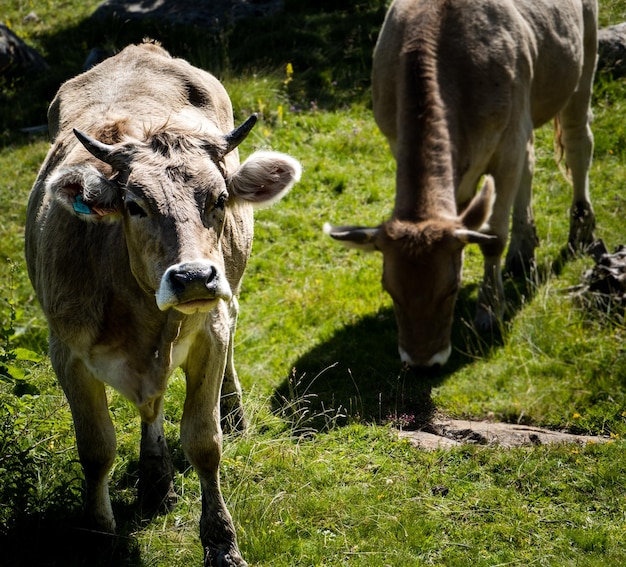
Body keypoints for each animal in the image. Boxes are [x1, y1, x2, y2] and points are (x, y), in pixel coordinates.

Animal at [23, 43, 298, 567]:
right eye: (135, 205)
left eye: (220, 198)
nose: (193, 277)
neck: (141, 315)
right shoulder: (66, 352)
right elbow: (96, 448)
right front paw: (100, 534)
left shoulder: (208, 334)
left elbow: (204, 442)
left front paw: (222, 543)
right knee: (150, 408)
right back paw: (155, 480)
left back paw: (231, 416)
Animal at [326, 0, 596, 368]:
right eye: (389, 289)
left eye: (450, 290)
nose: (422, 362)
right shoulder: (400, 141)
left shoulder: (508, 140)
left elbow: (493, 238)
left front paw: (489, 311)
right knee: (529, 163)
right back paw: (523, 250)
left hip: (583, 60)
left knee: (577, 138)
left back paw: (581, 229)